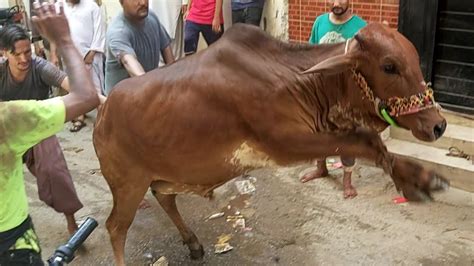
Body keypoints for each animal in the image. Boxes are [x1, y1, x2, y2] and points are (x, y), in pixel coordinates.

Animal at [92, 22, 448, 264]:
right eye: (389, 66)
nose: (438, 125)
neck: (301, 80)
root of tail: (103, 111)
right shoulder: (285, 143)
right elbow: (365, 142)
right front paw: (417, 179)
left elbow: (370, 141)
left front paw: (416, 179)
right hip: (128, 184)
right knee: (116, 228)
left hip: (165, 175)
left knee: (164, 199)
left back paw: (193, 243)